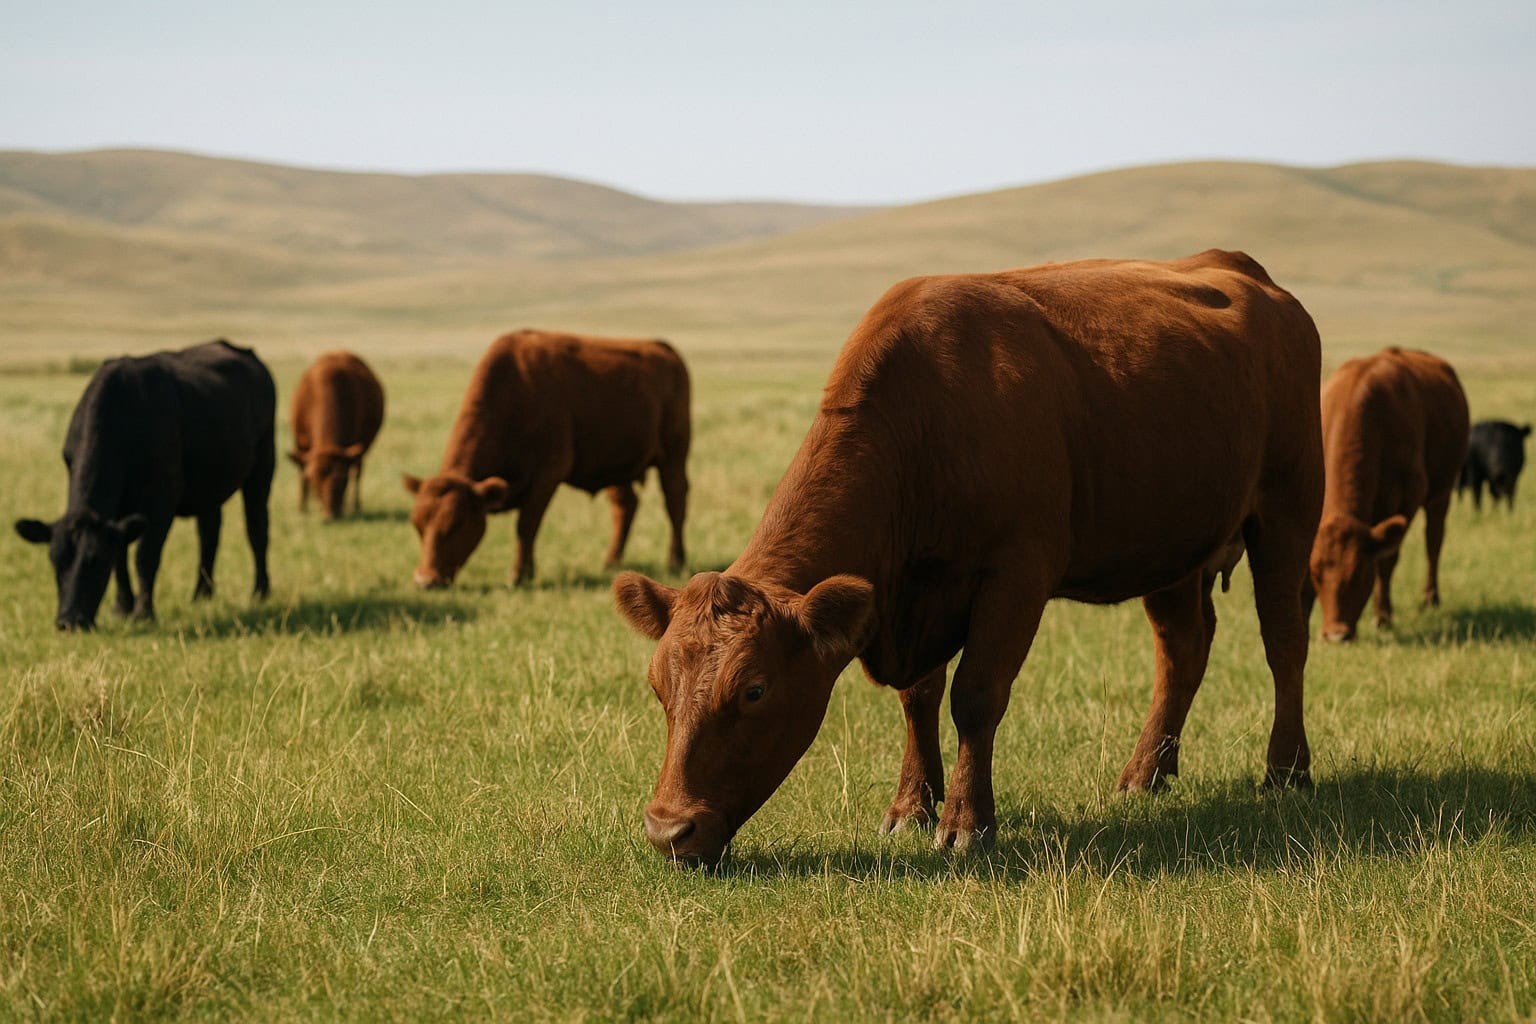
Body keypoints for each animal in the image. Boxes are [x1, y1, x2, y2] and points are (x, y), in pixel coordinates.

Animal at [15, 339, 275, 630]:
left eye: (95, 562)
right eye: (54, 560)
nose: (69, 621)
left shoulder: (162, 496)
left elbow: (144, 555)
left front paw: (143, 612)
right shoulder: (117, 507)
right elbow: (120, 553)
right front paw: (121, 607)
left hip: (263, 463)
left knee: (257, 527)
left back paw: (260, 591)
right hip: (209, 481)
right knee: (209, 530)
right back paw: (201, 595)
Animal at [289, 351, 385, 520]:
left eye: (342, 480)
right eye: (314, 479)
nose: (330, 515)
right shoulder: (300, 441)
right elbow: (301, 470)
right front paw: (302, 508)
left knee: (357, 472)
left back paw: (354, 506)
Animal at [404, 329, 690, 588]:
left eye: (455, 524)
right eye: (417, 524)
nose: (425, 580)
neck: (517, 392)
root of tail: (664, 349)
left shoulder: (547, 475)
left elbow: (526, 525)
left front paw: (520, 575)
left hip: (674, 456)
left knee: (675, 501)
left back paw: (675, 561)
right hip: (615, 467)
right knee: (625, 505)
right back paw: (611, 562)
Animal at [614, 249, 1324, 865]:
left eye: (754, 689)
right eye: (657, 686)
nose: (667, 830)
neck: (927, 422)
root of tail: (1250, 274)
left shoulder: (1017, 574)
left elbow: (976, 694)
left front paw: (965, 821)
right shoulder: (911, 596)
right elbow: (919, 697)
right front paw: (911, 806)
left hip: (1288, 511)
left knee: (1284, 639)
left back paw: (1285, 770)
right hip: (1171, 546)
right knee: (1182, 650)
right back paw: (1146, 773)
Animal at [1309, 348, 1469, 643]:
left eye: (1360, 574)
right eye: (1316, 574)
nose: (1336, 635)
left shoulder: (1406, 499)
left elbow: (1387, 560)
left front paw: (1382, 616)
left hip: (1442, 491)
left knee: (1434, 541)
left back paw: (1430, 598)